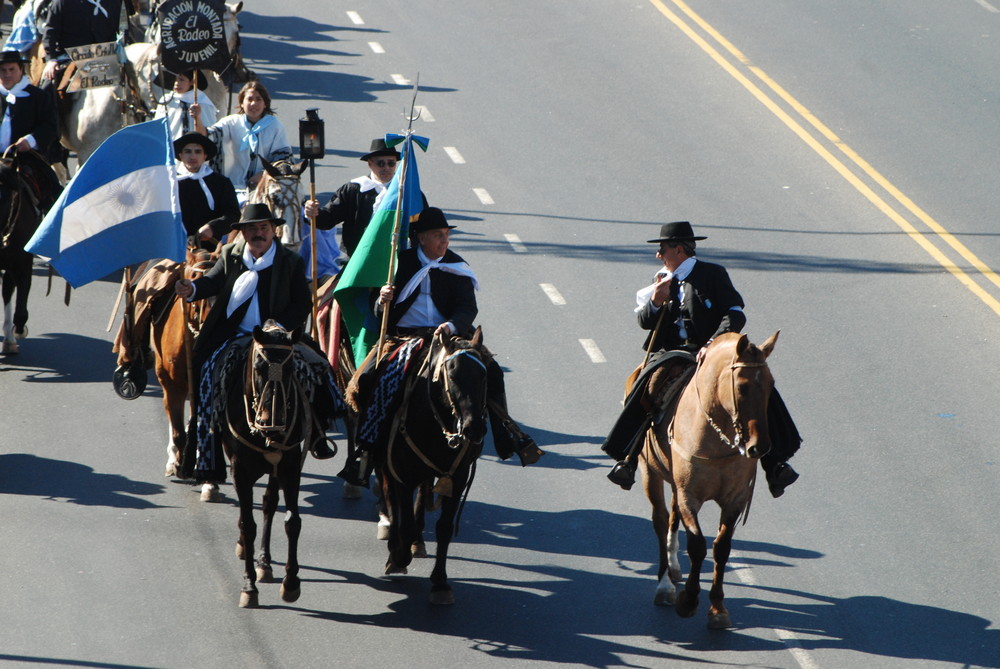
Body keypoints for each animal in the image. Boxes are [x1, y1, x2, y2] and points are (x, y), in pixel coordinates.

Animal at [0, 148, 61, 352]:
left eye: (7, 196)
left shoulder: (22, 265)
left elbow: (20, 313)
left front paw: (17, 331)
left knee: (8, 291)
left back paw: (10, 339)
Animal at [376, 328, 490, 604]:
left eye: (483, 375)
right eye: (453, 375)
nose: (474, 428)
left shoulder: (457, 478)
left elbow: (444, 528)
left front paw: (440, 582)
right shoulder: (402, 474)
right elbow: (403, 520)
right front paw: (398, 557)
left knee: (422, 495)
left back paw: (417, 541)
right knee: (390, 498)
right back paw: (395, 542)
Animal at [640, 332, 780, 628]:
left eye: (771, 385)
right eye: (743, 387)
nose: (759, 447)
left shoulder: (735, 499)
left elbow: (721, 548)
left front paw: (717, 607)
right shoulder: (689, 495)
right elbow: (697, 545)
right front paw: (689, 600)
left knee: (671, 518)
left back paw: (674, 569)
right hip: (650, 473)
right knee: (660, 519)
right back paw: (665, 584)